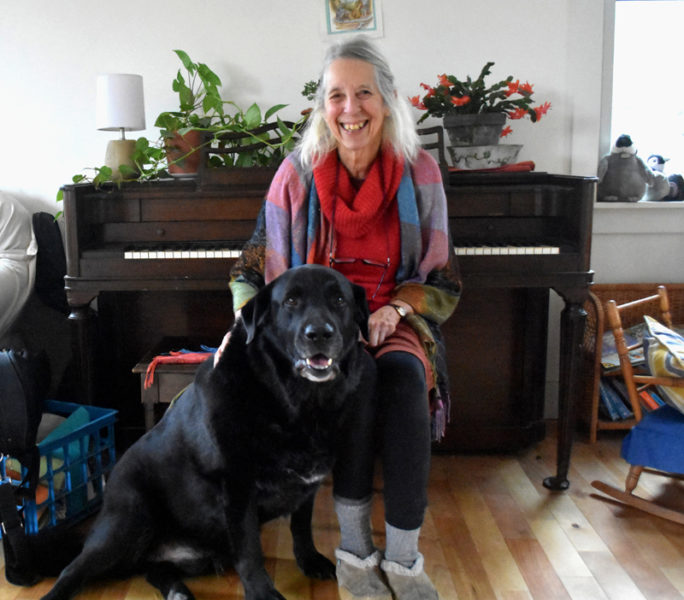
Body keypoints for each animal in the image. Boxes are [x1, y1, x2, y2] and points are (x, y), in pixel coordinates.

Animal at [39, 266, 374, 600]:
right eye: (291, 301)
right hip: (126, 523)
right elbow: (250, 551)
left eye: (339, 300)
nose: (319, 333)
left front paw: (310, 561)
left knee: (155, 570)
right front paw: (263, 593)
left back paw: (177, 591)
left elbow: (301, 528)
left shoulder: (307, 486)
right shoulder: (237, 487)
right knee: (72, 569)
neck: (296, 402)